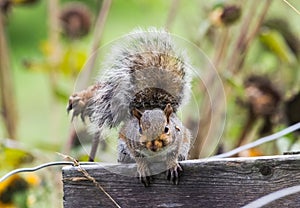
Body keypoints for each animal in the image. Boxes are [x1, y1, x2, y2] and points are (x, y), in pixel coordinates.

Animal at [67, 28, 192, 187]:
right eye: (140, 129)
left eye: (166, 129)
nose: (153, 145)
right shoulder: (131, 142)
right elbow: (139, 157)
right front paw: (143, 168)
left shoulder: (179, 138)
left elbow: (173, 154)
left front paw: (172, 164)